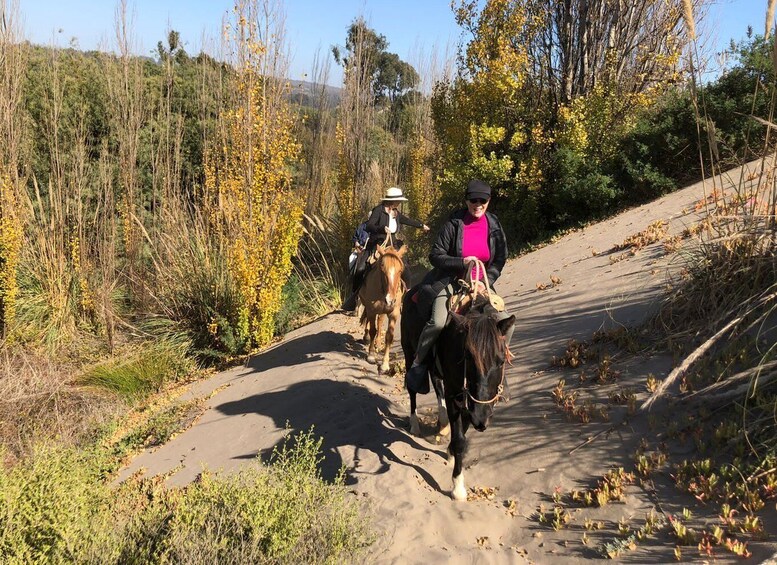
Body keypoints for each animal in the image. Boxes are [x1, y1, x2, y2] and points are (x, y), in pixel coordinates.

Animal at [400, 286, 516, 498]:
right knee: (412, 388)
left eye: (502, 361)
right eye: (467, 357)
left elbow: (464, 427)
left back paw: (442, 422)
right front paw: (458, 487)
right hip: (409, 352)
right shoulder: (455, 394)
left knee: (437, 384)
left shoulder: (470, 403)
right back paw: (415, 425)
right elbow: (460, 440)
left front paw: (450, 451)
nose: (482, 419)